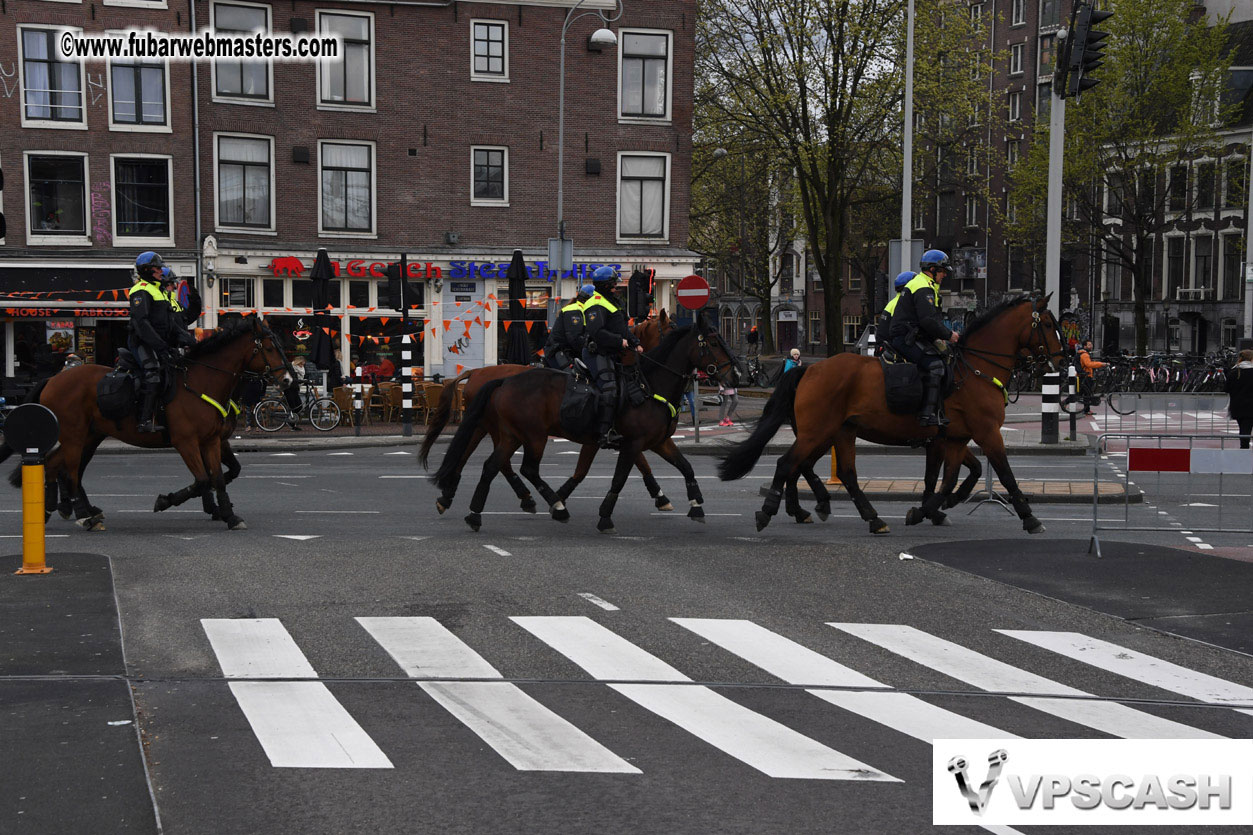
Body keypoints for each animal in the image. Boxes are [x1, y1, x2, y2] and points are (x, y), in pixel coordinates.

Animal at [5, 315, 293, 529]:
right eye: (269, 348)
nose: (290, 380)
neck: (200, 382)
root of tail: (53, 379)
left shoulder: (211, 441)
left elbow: (219, 478)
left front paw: (228, 514)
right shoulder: (186, 442)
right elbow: (203, 479)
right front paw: (166, 501)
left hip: (87, 437)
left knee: (57, 466)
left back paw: (56, 510)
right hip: (74, 436)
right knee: (70, 471)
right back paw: (82, 514)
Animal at [436, 308, 736, 529]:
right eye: (712, 342)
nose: (735, 373)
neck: (647, 384)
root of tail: (498, 379)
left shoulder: (655, 442)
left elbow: (685, 466)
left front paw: (695, 504)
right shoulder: (632, 443)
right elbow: (621, 477)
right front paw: (605, 514)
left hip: (510, 435)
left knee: (491, 465)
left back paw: (474, 511)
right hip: (531, 436)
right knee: (524, 468)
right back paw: (551, 506)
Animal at [721, 295, 1062, 534]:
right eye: (1047, 325)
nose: (1062, 358)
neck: (974, 370)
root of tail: (810, 368)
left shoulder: (954, 439)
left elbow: (953, 477)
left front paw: (930, 510)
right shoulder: (984, 433)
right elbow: (1002, 473)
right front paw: (1029, 517)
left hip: (837, 432)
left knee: (837, 472)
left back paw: (864, 517)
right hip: (818, 432)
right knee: (789, 464)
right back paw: (773, 510)